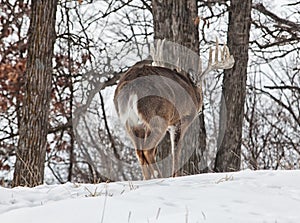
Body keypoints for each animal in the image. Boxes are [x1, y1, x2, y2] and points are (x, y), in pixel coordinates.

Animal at [113, 38, 233, 180]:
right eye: (200, 88)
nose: (200, 109)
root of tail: (131, 87)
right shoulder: (182, 120)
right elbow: (176, 151)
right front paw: (176, 176)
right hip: (157, 118)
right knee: (148, 150)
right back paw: (159, 176)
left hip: (130, 123)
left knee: (140, 152)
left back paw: (147, 179)